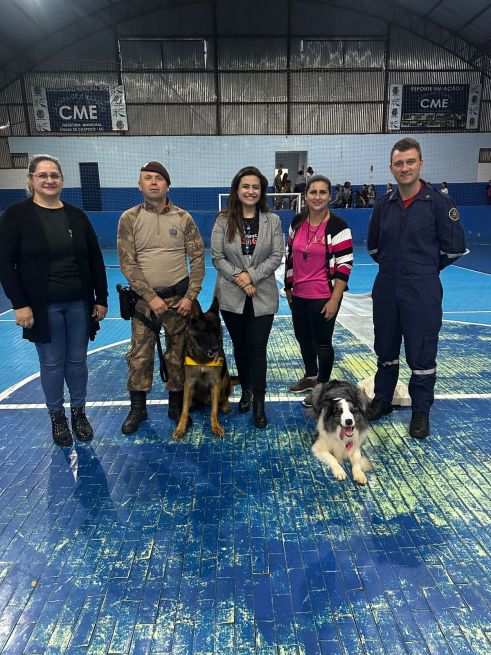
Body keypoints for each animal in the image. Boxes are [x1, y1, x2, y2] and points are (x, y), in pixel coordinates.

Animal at [173, 297, 232, 440]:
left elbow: (214, 410)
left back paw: (224, 404)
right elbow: (184, 410)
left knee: (224, 396)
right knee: (191, 404)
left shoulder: (216, 383)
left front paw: (215, 426)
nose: (216, 349)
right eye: (205, 331)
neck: (203, 358)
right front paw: (180, 428)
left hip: (225, 378)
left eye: (217, 331)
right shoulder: (188, 383)